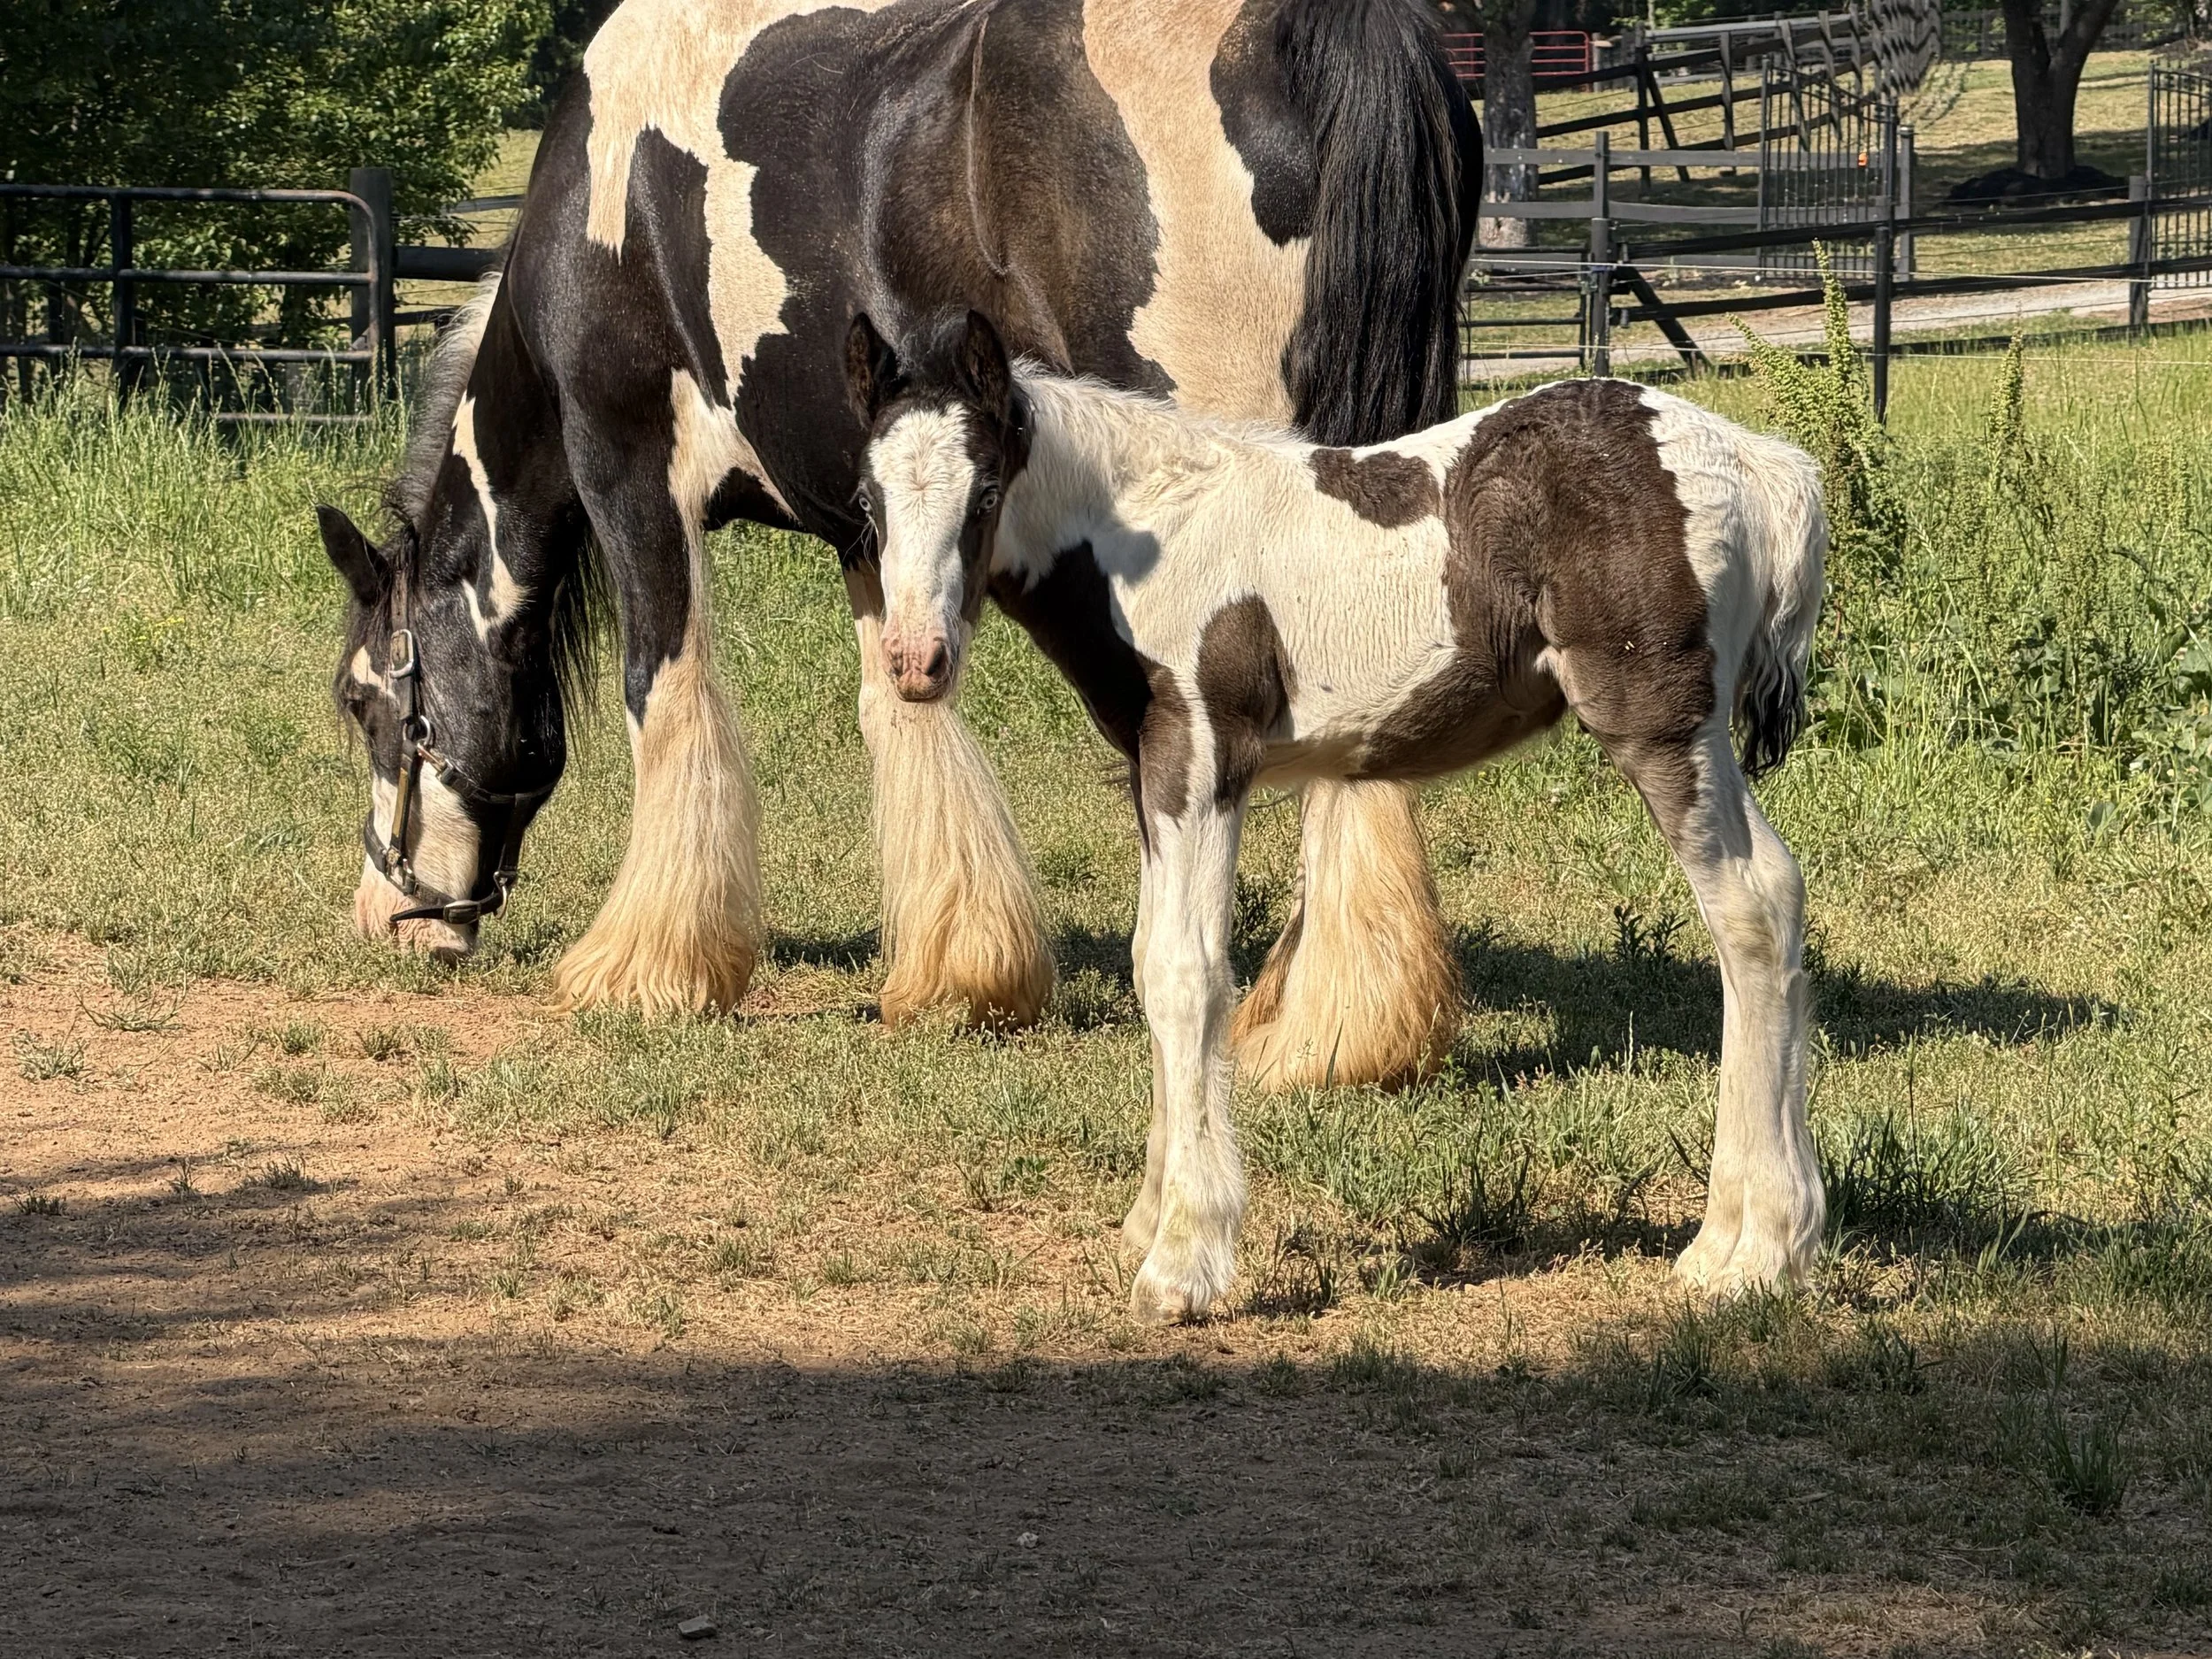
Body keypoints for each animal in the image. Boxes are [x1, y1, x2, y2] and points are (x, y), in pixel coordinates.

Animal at [316, 0, 1480, 1090]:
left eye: (366, 701)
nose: (386, 916)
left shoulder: (627, 470)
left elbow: (663, 685)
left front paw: (649, 966)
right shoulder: (869, 514)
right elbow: (899, 700)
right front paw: (959, 972)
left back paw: (1333, 1027)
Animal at [847, 308, 1829, 1320]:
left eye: (983, 493)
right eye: (868, 503)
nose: (915, 661)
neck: (1147, 537)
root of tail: (1758, 463)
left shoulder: (1204, 759)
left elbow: (1186, 975)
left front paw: (1184, 1262)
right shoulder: (1151, 773)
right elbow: (1149, 962)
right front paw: (1147, 1223)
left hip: (1664, 729)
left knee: (1753, 909)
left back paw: (1749, 1249)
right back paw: (1765, 1241)